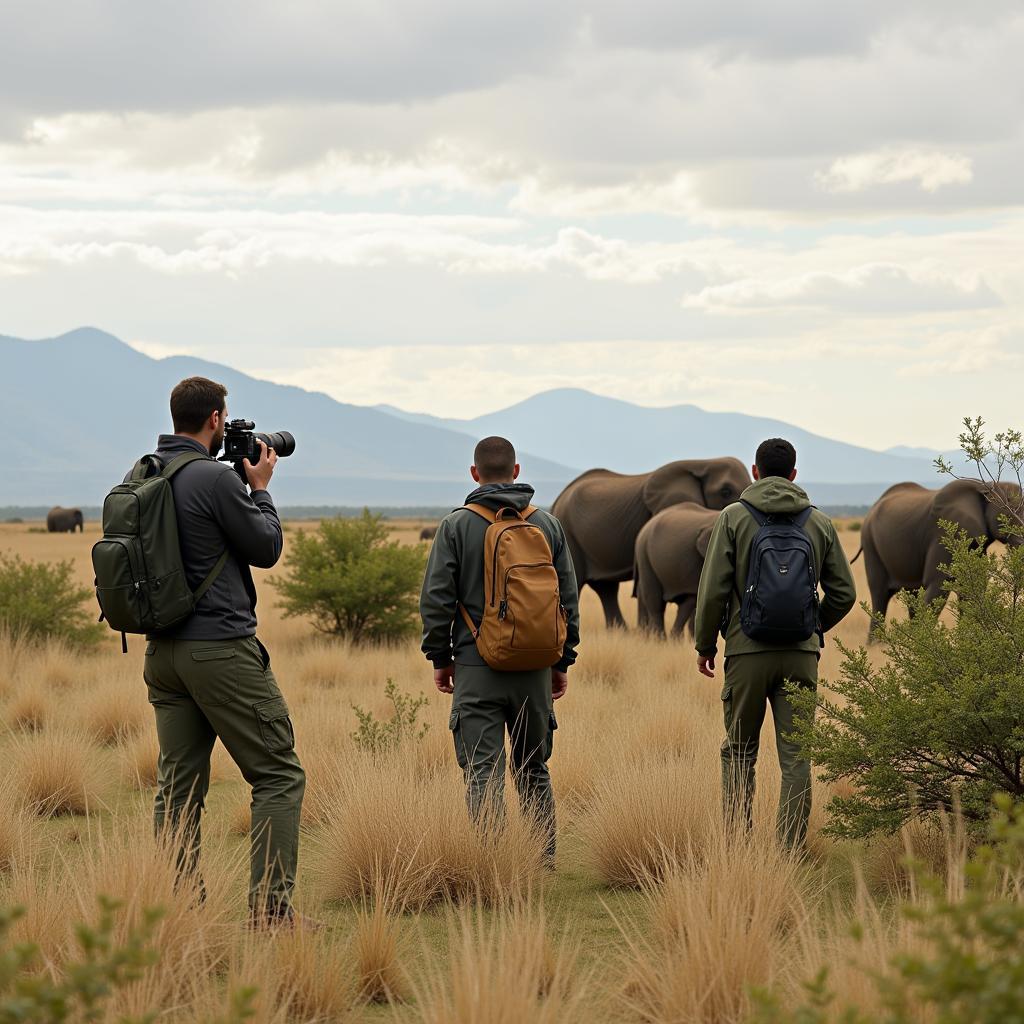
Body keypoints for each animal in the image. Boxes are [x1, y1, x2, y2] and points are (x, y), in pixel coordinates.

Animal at [856, 475, 1024, 634]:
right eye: (1012, 509)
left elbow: (973, 587)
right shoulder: (944, 534)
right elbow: (938, 584)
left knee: (911, 593)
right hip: (870, 543)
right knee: (880, 595)